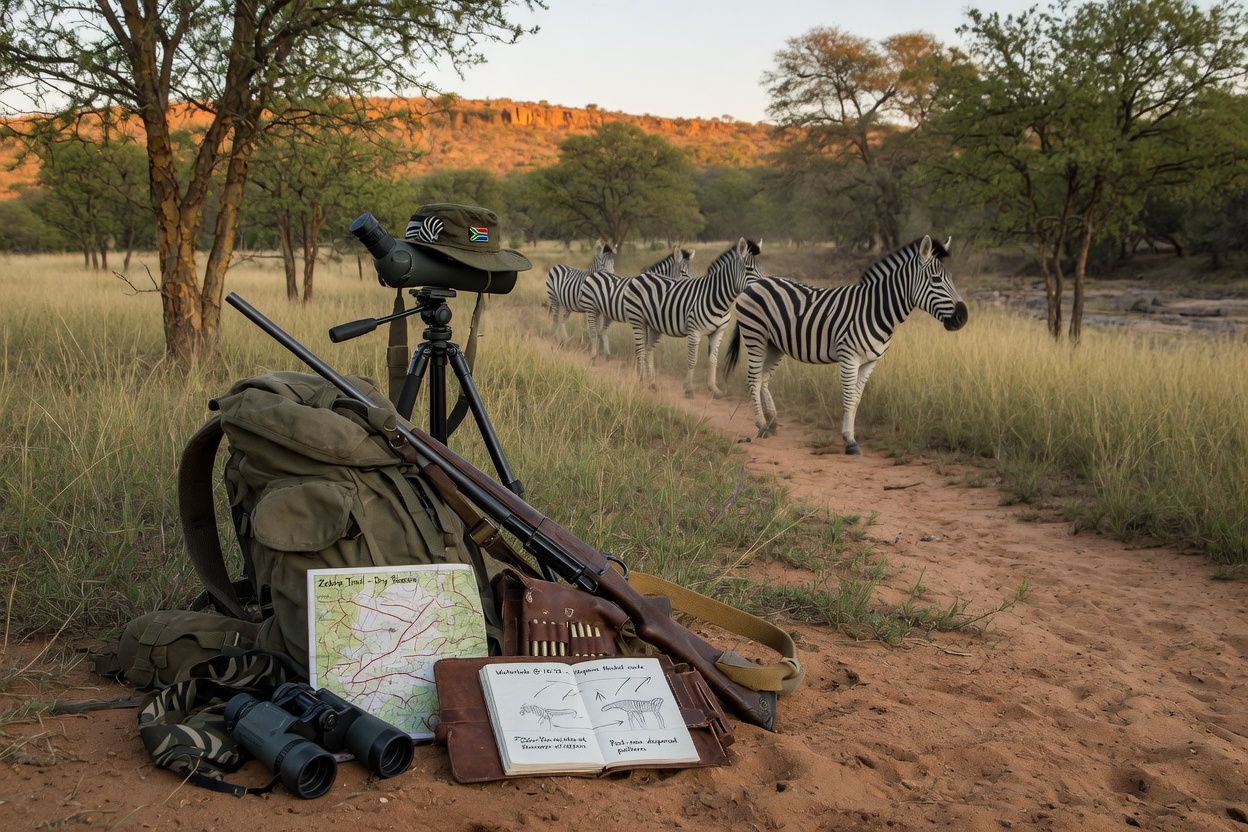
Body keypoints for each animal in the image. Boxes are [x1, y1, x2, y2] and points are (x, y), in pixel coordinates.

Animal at [621, 238, 761, 396]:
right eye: (749, 269)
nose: (760, 289)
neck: (717, 299)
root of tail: (641, 276)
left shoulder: (718, 332)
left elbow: (713, 360)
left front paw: (714, 389)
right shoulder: (695, 331)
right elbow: (692, 360)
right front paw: (688, 388)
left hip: (653, 325)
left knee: (648, 350)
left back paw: (651, 383)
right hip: (637, 320)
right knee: (640, 350)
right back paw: (641, 381)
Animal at [724, 235, 968, 454]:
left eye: (950, 278)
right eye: (936, 279)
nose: (962, 317)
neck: (875, 311)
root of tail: (755, 284)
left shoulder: (870, 362)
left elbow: (857, 399)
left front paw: (849, 434)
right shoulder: (849, 357)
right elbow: (849, 397)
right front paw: (850, 441)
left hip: (775, 344)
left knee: (763, 378)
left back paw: (772, 422)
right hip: (755, 336)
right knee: (754, 379)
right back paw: (761, 426)